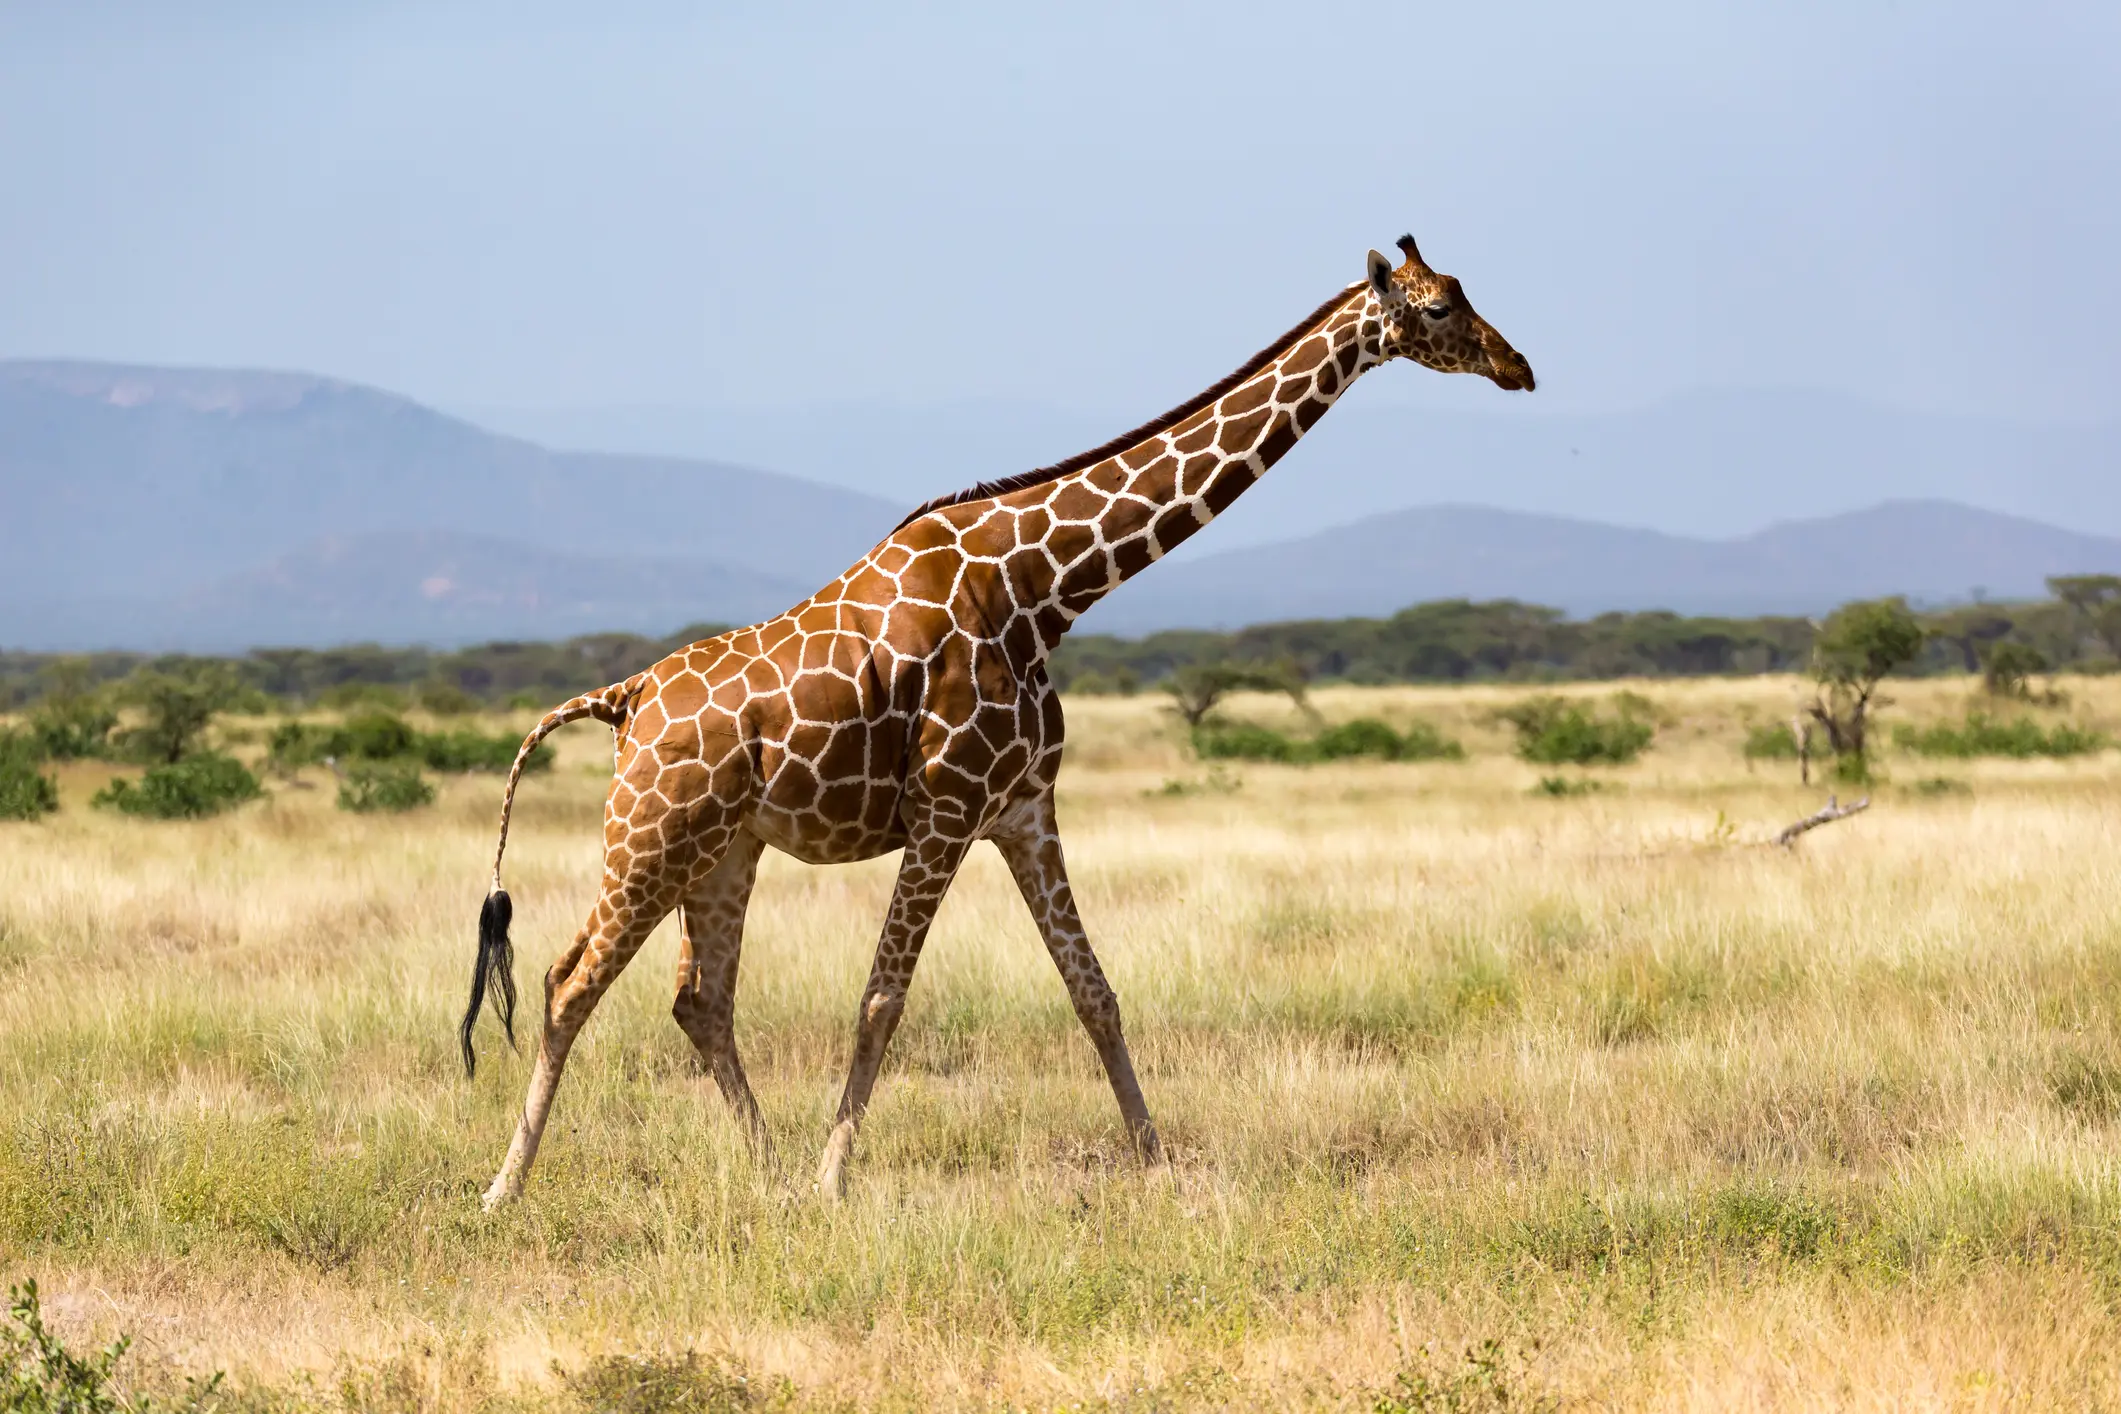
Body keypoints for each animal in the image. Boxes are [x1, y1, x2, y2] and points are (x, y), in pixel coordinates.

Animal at [462, 235, 1535, 1207]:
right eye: (1439, 306)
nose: (1516, 366)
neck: (1040, 586)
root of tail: (625, 698)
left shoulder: (1023, 807)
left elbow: (1094, 992)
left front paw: (1160, 1171)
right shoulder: (944, 813)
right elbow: (880, 1001)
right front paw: (833, 1181)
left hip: (726, 848)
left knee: (698, 1001)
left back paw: (764, 1177)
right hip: (651, 835)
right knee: (567, 983)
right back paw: (506, 1188)